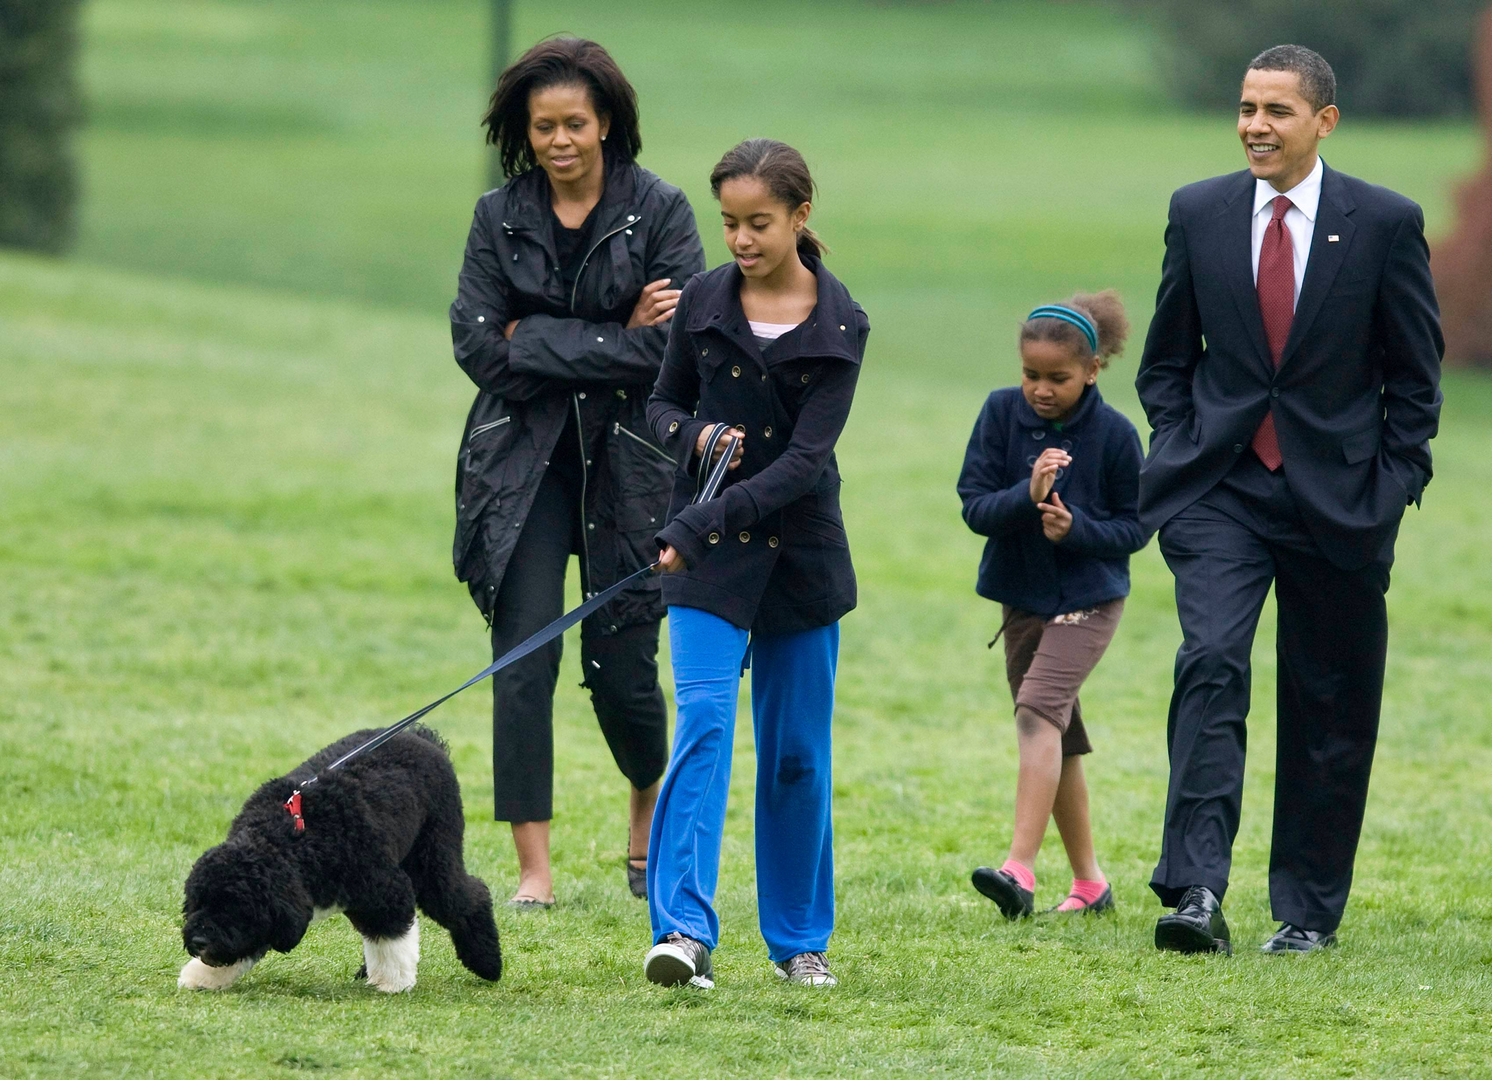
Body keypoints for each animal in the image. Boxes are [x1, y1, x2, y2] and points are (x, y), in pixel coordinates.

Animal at [177, 724, 504, 996]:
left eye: (235, 906)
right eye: (199, 902)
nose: (199, 942)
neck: (293, 839)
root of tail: (422, 735)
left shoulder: (386, 890)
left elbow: (393, 938)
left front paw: (393, 982)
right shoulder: (281, 909)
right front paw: (202, 977)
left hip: (433, 857)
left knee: (471, 895)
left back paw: (487, 963)